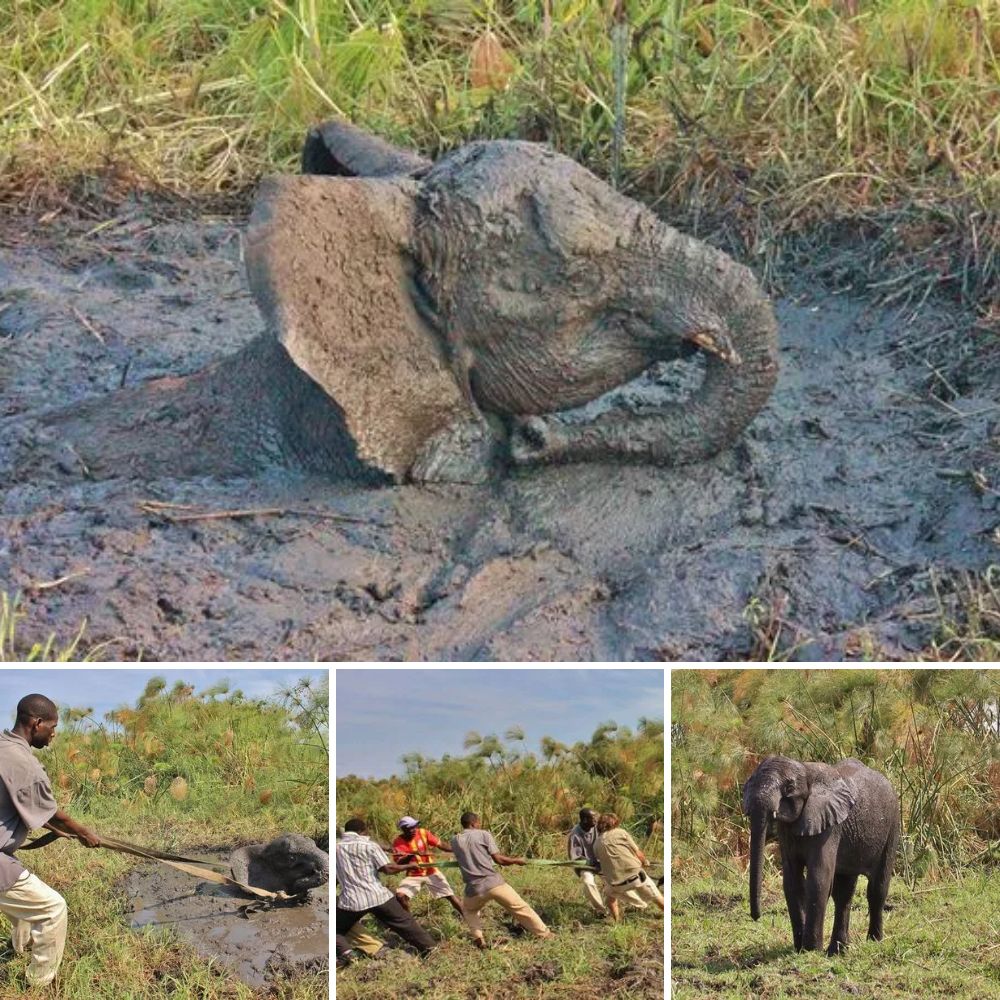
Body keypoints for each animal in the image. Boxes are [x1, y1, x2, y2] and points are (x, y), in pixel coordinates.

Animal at [740, 756, 904, 952]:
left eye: (789, 787)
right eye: (750, 781)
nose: (756, 917)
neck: (806, 770)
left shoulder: (830, 827)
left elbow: (818, 877)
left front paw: (811, 950)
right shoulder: (787, 829)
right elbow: (792, 881)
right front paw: (800, 949)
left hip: (893, 825)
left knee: (877, 888)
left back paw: (874, 941)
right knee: (843, 894)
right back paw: (837, 951)